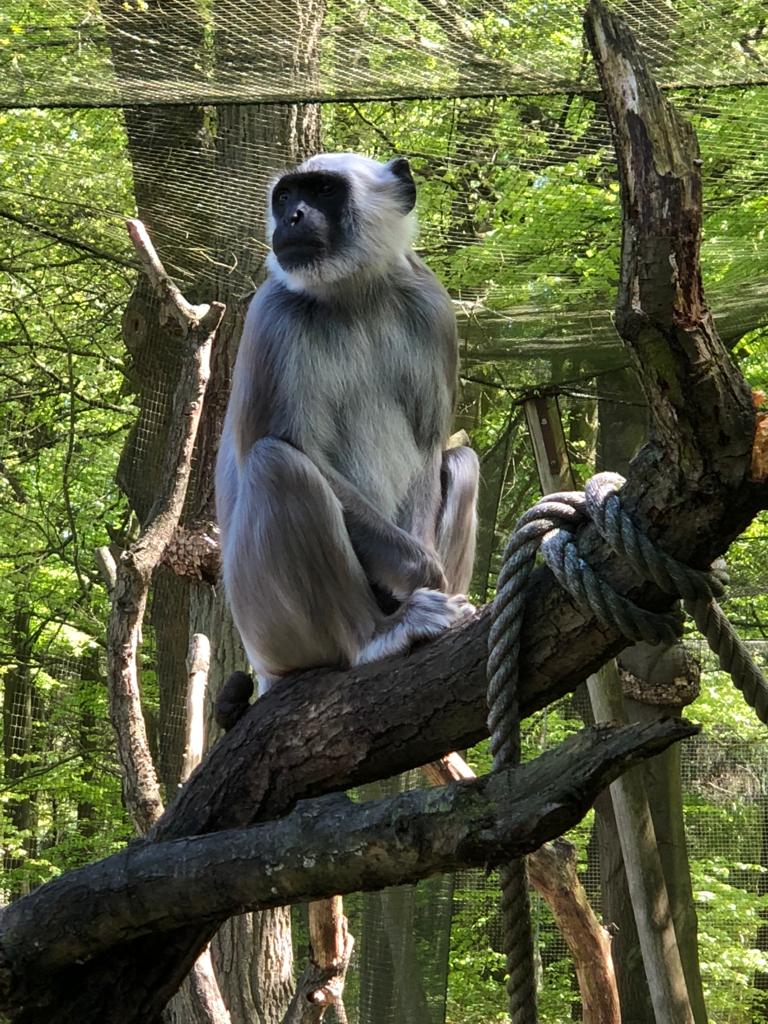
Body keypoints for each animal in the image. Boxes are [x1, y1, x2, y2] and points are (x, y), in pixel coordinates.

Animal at [217, 153, 479, 688]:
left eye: (322, 191)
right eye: (285, 197)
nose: (293, 217)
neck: (352, 295)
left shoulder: (432, 305)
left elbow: (429, 446)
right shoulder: (272, 313)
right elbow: (277, 443)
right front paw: (422, 572)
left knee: (462, 459)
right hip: (269, 625)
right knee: (278, 463)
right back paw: (375, 635)